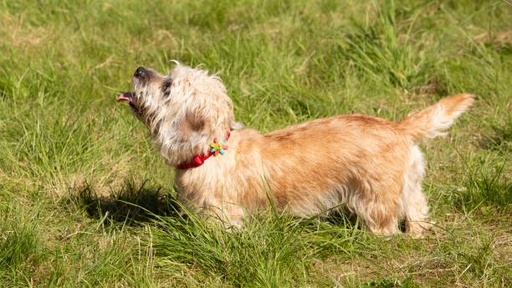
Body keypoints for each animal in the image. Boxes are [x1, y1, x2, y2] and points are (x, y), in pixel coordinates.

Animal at [118, 62, 474, 235]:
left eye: (168, 86)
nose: (138, 70)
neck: (211, 148)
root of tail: (397, 127)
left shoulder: (223, 215)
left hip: (377, 200)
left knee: (385, 226)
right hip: (410, 188)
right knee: (418, 214)